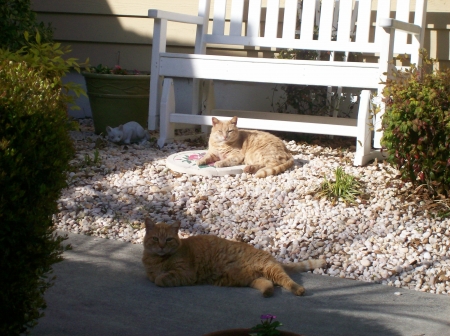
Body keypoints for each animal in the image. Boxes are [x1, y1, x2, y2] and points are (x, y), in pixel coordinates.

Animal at [142, 219, 326, 298]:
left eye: (168, 239)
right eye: (155, 239)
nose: (161, 246)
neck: (158, 260)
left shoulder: (186, 273)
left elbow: (160, 279)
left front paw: (161, 277)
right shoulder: (151, 273)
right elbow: (153, 277)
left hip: (270, 269)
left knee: (287, 281)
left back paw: (299, 290)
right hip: (252, 279)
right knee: (268, 284)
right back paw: (267, 292)